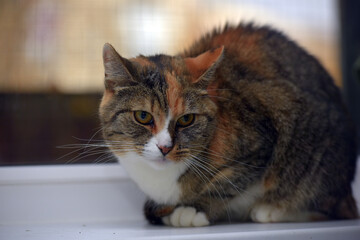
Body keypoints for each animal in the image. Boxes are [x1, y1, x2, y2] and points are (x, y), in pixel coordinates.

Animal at [97, 23, 358, 227]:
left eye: (186, 119)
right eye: (143, 116)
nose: (165, 147)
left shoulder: (261, 141)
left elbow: (227, 183)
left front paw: (194, 209)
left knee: (328, 207)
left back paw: (272, 210)